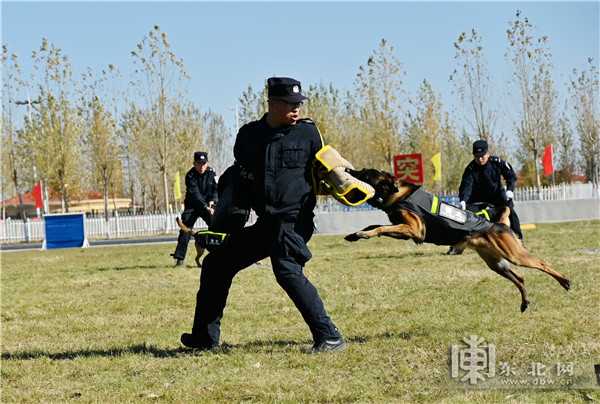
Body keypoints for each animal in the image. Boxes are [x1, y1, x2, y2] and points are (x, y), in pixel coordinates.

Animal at [344, 168, 568, 312]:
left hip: (515, 255)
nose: (347, 169)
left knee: (542, 264)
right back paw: (525, 302)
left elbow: (381, 227)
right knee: (520, 278)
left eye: (365, 173)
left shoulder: (414, 230)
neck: (397, 194)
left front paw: (364, 234)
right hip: (497, 264)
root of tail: (498, 224)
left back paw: (564, 281)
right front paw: (356, 234)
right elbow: (374, 225)